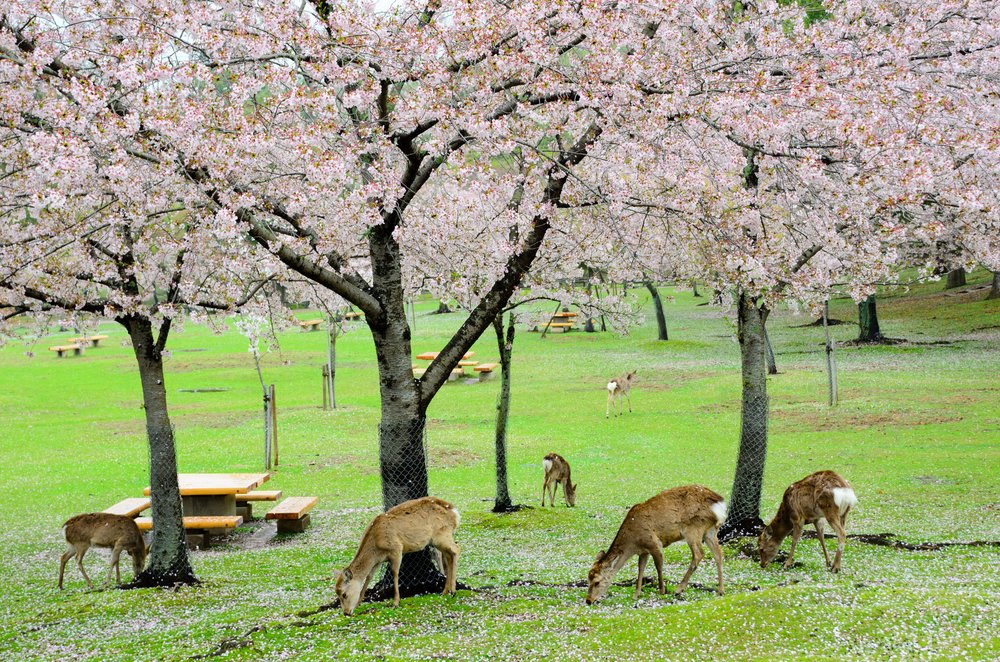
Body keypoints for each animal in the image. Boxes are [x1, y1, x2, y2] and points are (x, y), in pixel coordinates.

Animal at [334, 498, 462, 616]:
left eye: (344, 594)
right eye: (337, 593)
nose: (346, 612)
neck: (376, 545)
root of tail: (454, 512)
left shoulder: (397, 549)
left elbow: (395, 573)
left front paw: (396, 602)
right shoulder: (378, 560)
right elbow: (369, 576)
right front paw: (359, 602)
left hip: (441, 535)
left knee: (456, 548)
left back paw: (453, 591)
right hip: (438, 540)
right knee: (448, 556)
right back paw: (445, 591)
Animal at [584, 482, 728, 608]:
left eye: (597, 582)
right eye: (588, 579)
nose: (588, 600)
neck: (632, 544)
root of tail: (719, 503)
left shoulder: (654, 543)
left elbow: (658, 566)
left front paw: (662, 590)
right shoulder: (643, 550)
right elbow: (640, 568)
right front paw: (636, 594)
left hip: (694, 527)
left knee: (699, 554)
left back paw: (679, 589)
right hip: (710, 530)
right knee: (718, 554)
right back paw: (721, 590)